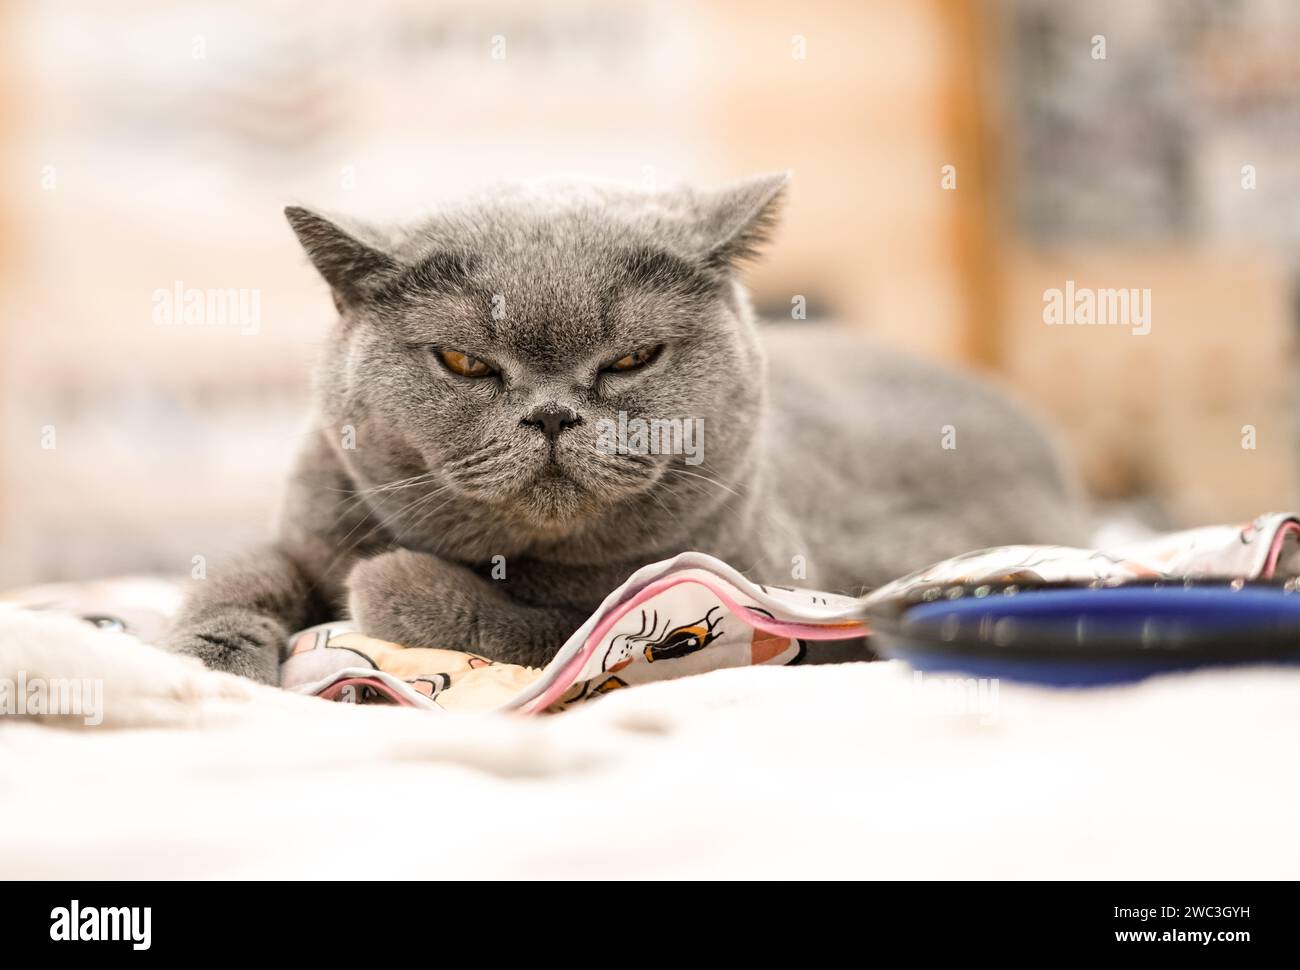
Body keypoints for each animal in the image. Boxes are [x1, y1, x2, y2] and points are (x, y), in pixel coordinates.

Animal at [172, 174, 1086, 686]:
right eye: (465, 362)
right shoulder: (306, 528)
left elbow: (564, 626)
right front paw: (203, 663)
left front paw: (389, 583)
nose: (550, 413)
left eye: (633, 359)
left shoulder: (769, 604)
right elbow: (239, 574)